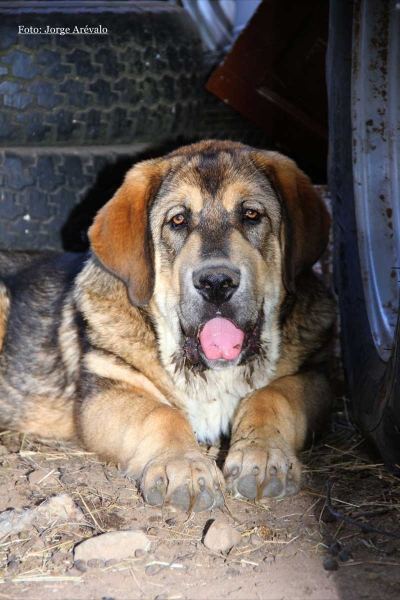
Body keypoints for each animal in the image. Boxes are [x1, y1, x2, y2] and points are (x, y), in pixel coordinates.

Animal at [0, 141, 334, 510]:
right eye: (178, 220)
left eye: (251, 215)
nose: (216, 283)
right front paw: (184, 466)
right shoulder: (105, 388)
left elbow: (271, 396)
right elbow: (161, 415)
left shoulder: (315, 375)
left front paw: (263, 457)